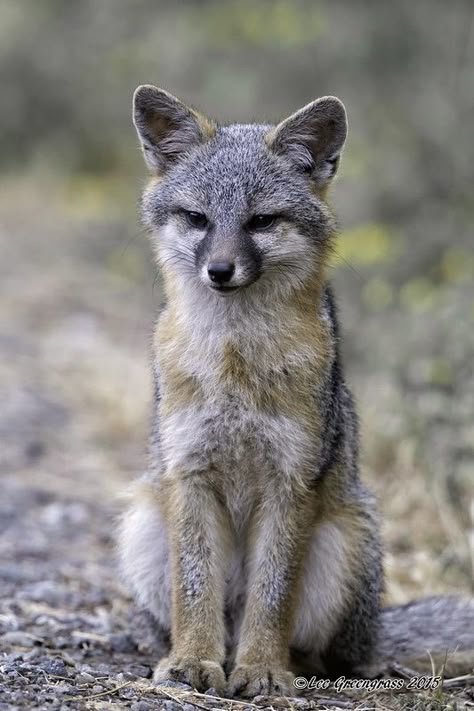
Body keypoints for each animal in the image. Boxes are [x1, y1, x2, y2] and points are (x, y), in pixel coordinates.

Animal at [119, 86, 474, 700]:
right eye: (198, 219)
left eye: (261, 221)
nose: (219, 270)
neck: (235, 363)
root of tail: (374, 633)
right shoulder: (189, 472)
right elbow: (194, 589)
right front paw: (191, 661)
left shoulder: (291, 479)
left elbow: (272, 596)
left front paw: (262, 668)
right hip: (144, 520)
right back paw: (202, 654)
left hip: (342, 544)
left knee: (327, 656)